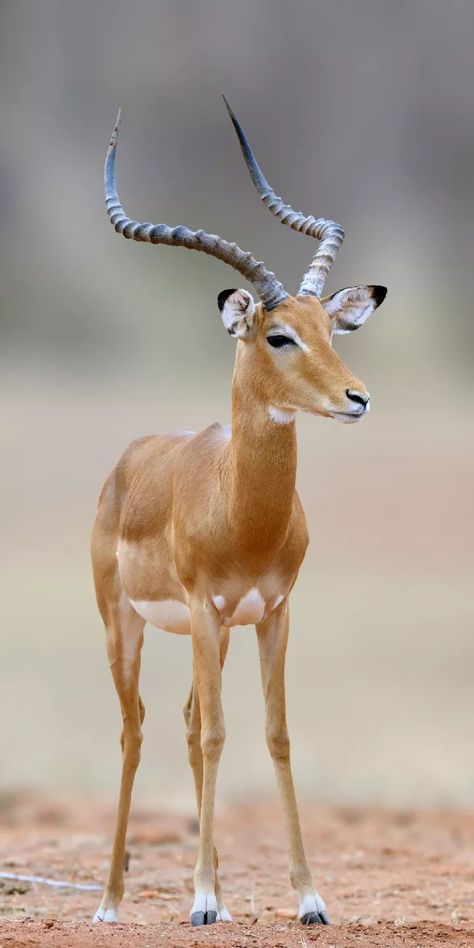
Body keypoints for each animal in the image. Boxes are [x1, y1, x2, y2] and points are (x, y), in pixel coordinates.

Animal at [91, 96, 386, 924]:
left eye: (330, 329)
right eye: (279, 335)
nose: (357, 398)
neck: (244, 512)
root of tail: (132, 458)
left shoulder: (272, 611)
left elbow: (273, 734)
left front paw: (309, 898)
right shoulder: (203, 605)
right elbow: (221, 734)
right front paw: (197, 899)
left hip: (213, 633)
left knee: (189, 723)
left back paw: (214, 888)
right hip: (129, 625)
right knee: (136, 730)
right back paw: (114, 900)